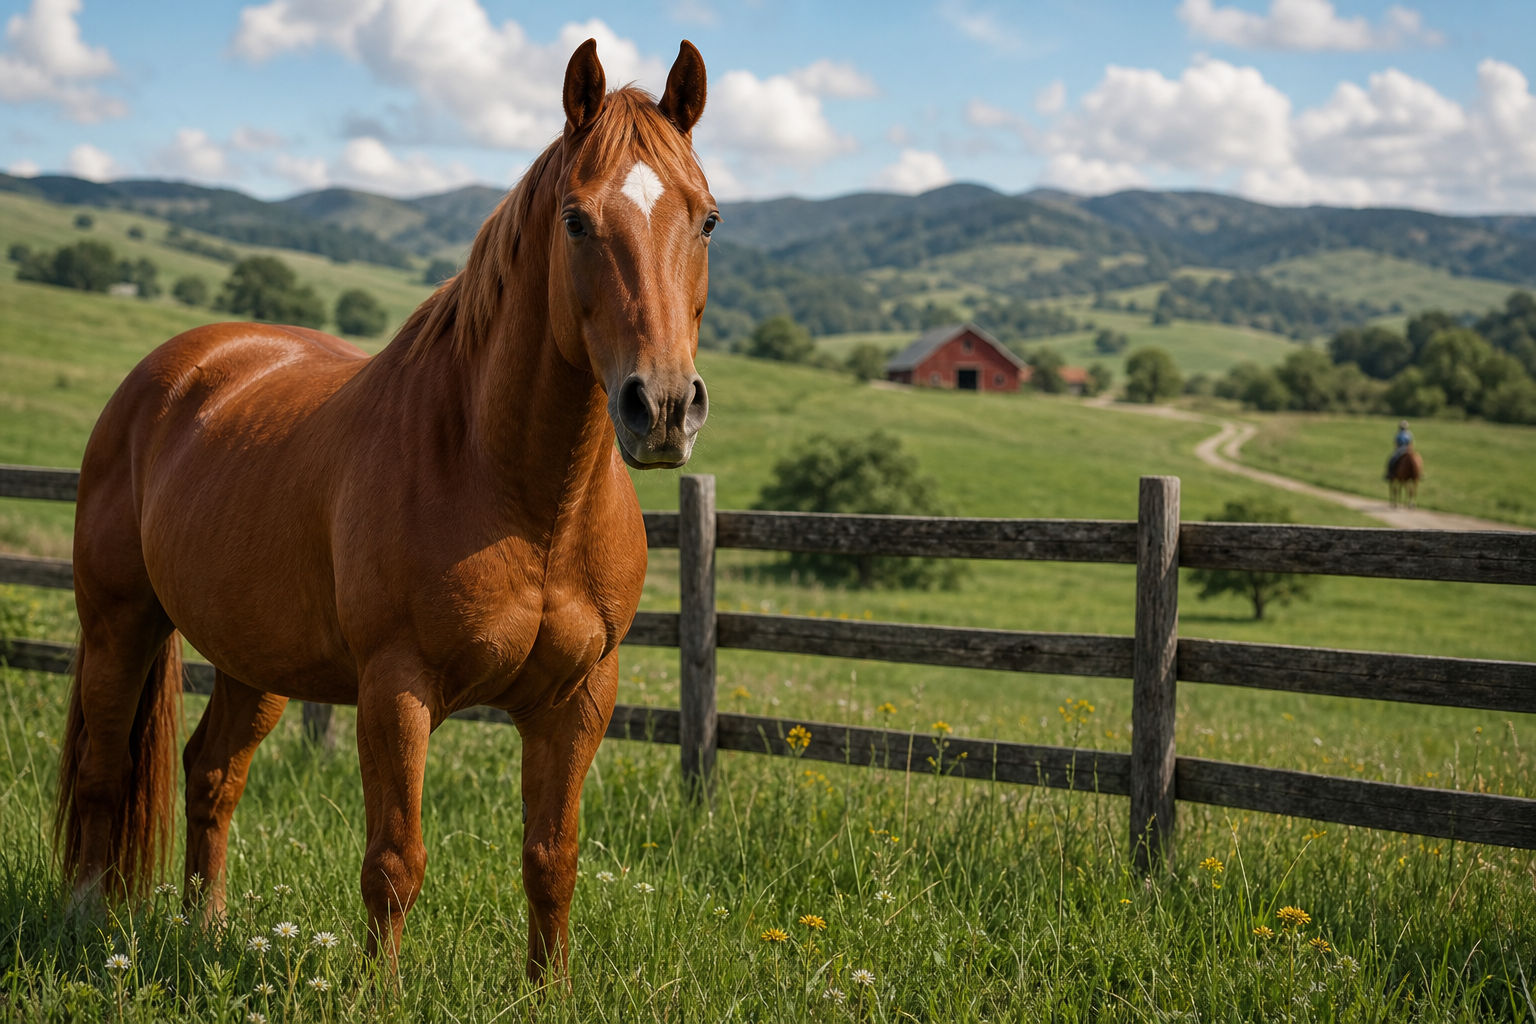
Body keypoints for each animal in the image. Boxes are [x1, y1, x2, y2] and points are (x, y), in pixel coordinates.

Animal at [54, 38, 714, 982]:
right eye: (577, 220)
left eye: (707, 220)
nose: (660, 407)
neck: (523, 497)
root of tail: (175, 369)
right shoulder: (396, 688)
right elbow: (396, 861)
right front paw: (381, 990)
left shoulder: (579, 698)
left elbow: (552, 859)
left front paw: (548, 991)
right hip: (121, 625)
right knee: (104, 771)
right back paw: (83, 921)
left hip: (256, 659)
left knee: (212, 774)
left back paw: (205, 930)